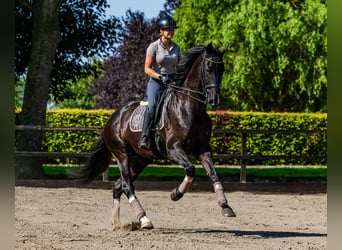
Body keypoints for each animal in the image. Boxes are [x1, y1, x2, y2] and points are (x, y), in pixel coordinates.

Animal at [69, 42, 235, 229]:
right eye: (208, 67)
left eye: (222, 69)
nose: (215, 100)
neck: (191, 108)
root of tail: (112, 119)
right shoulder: (173, 149)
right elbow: (191, 169)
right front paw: (175, 194)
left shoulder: (203, 149)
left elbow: (214, 174)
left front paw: (225, 206)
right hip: (122, 154)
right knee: (127, 185)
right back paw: (144, 219)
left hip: (140, 159)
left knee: (118, 185)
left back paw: (117, 223)